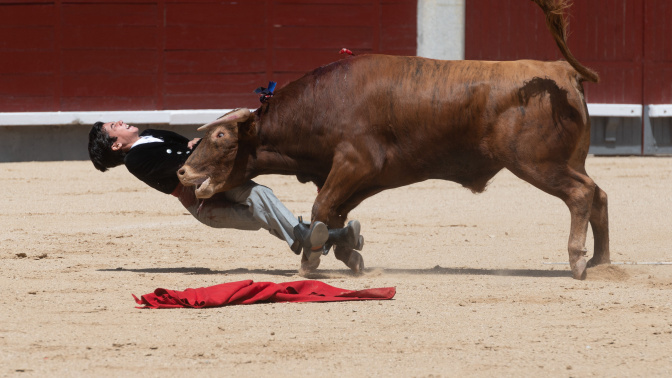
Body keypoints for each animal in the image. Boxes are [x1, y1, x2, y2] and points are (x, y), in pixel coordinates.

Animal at [178, 0, 608, 280]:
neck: (320, 105)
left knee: (581, 194)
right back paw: (601, 261)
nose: (182, 170)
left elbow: (322, 208)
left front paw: (311, 261)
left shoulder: (354, 164)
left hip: (536, 162)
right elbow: (335, 214)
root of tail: (561, 70)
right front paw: (350, 255)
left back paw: (577, 261)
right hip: (569, 160)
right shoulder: (362, 176)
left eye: (220, 135)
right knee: (599, 195)